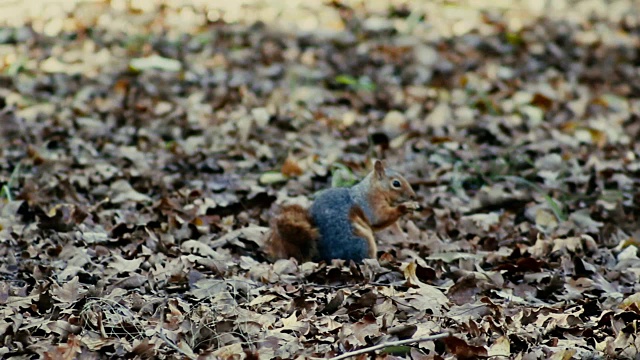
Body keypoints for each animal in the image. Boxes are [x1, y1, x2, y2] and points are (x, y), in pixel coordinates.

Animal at [264, 162, 420, 262]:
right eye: (396, 183)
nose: (413, 196)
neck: (372, 190)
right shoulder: (369, 204)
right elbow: (379, 218)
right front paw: (404, 207)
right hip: (364, 241)